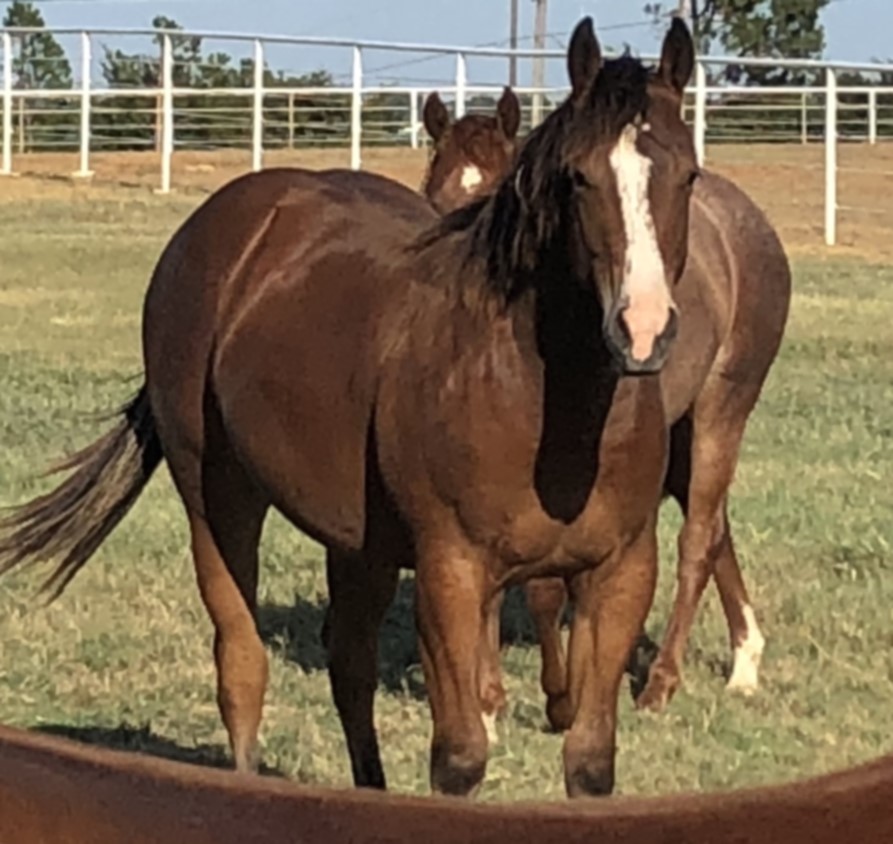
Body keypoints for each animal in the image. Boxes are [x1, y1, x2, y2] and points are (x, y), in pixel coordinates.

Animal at [0, 17, 699, 799]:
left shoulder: (620, 574)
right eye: (577, 179)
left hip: (356, 540)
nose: (642, 328)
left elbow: (589, 759)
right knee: (241, 662)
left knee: (349, 668)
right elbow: (460, 756)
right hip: (218, 496)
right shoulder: (450, 573)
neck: (549, 410)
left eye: (688, 176)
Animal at [421, 87, 791, 727]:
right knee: (717, 525)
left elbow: (545, 584)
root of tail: (751, 225)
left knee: (698, 537)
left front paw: (548, 696)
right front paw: (488, 700)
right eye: (436, 197)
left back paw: (662, 683)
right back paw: (745, 660)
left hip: (721, 411)